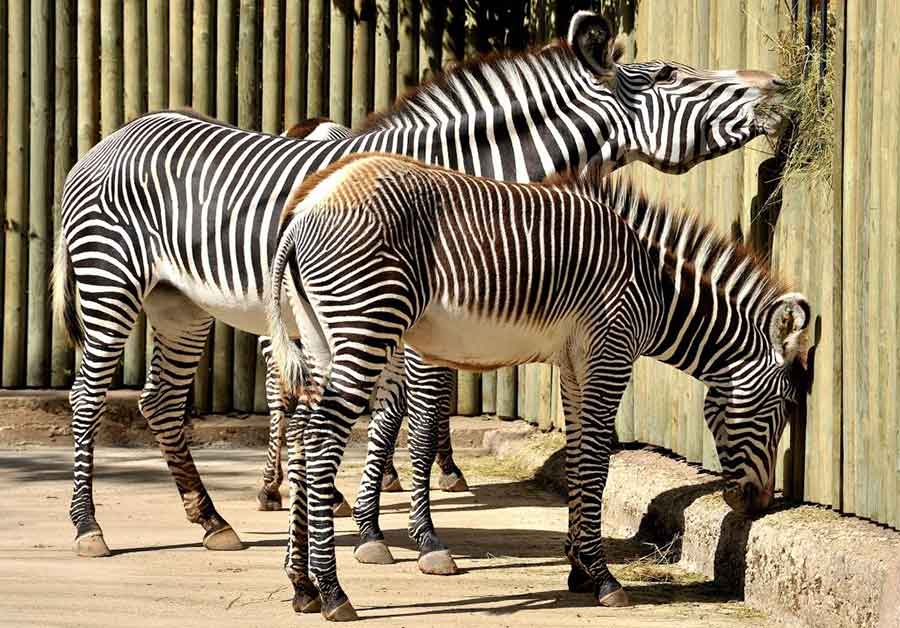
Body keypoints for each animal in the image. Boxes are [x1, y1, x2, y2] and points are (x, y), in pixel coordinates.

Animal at [51, 8, 788, 560]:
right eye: (671, 76)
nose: (779, 89)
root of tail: (110, 138)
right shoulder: (410, 319)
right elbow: (419, 416)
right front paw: (413, 537)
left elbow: (402, 417)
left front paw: (373, 523)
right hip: (111, 283)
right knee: (88, 400)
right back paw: (90, 528)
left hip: (180, 306)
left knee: (160, 404)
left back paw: (211, 520)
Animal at [266, 153, 808, 620]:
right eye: (782, 406)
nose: (761, 504)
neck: (656, 288)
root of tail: (307, 207)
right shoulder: (611, 353)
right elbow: (595, 464)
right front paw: (603, 578)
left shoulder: (574, 365)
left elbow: (578, 459)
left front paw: (580, 569)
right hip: (368, 322)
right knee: (322, 437)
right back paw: (333, 593)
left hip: (320, 335)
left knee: (304, 435)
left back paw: (301, 586)